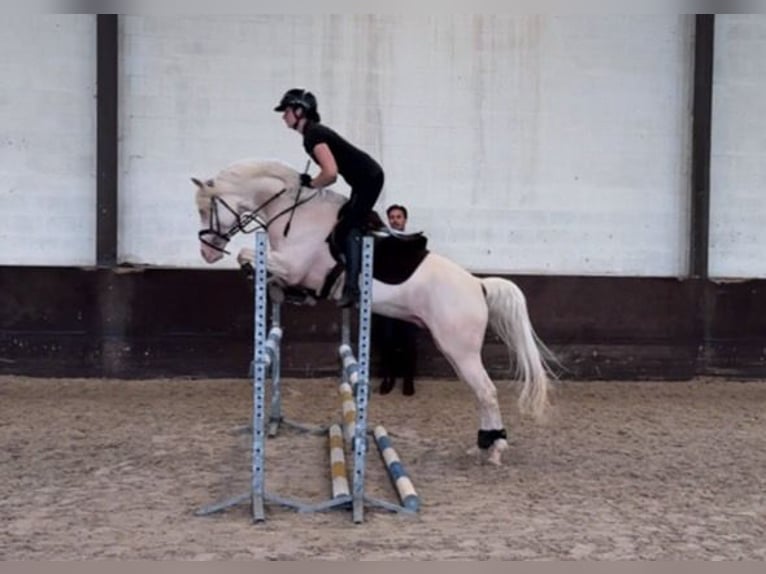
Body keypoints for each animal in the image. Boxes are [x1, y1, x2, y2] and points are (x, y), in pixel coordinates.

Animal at [195, 160, 556, 466]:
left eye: (205, 210)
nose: (207, 253)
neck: (295, 214)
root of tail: (478, 285)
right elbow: (269, 273)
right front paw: (282, 290)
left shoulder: (294, 264)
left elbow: (246, 254)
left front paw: (258, 275)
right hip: (453, 350)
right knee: (479, 393)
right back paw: (483, 445)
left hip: (460, 349)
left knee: (487, 392)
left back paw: (495, 449)